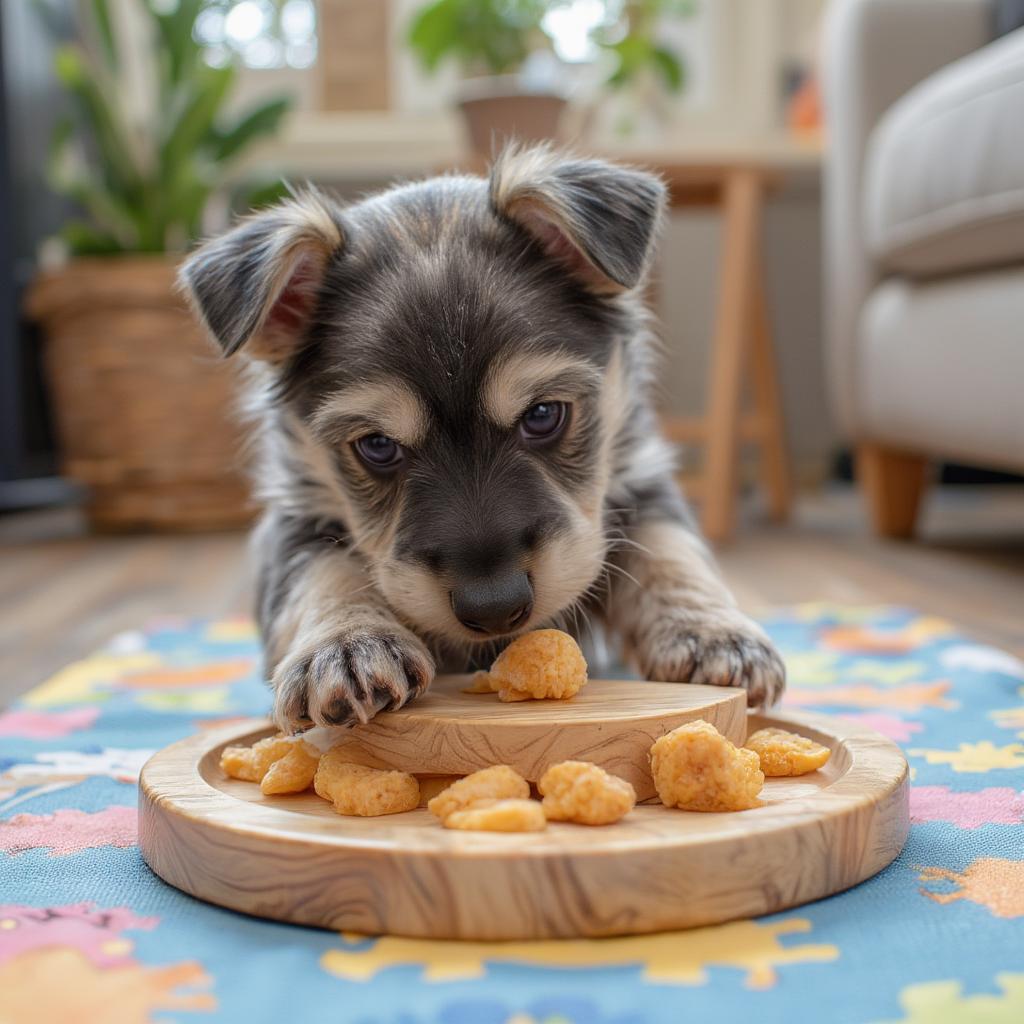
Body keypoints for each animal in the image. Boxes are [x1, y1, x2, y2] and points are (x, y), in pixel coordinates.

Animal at [180, 148, 782, 733]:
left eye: (543, 414)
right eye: (377, 446)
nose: (494, 607)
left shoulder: (640, 481)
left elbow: (671, 552)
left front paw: (711, 633)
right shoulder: (293, 520)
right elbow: (321, 574)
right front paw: (346, 646)